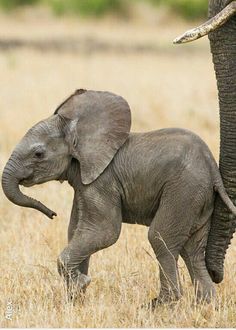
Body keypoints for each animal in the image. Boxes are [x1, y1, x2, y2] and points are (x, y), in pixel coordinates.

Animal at [2, 89, 236, 306]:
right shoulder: (85, 181)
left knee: (160, 237)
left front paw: (81, 284)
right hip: (197, 197)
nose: (52, 214)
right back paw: (205, 306)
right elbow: (76, 230)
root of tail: (212, 168)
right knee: (192, 250)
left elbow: (104, 231)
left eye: (38, 154)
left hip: (184, 191)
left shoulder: (102, 181)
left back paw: (159, 305)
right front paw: (75, 299)